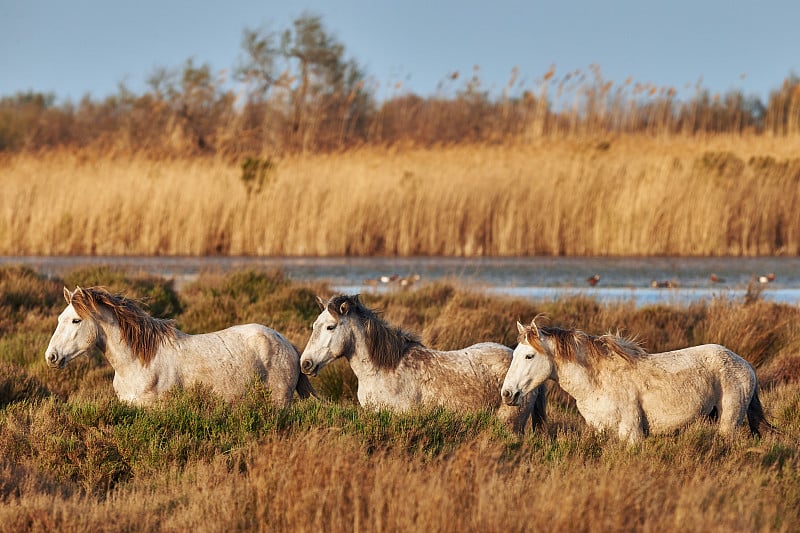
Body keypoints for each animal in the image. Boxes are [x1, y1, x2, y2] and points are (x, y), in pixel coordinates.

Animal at [43, 288, 312, 406]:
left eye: (76, 320)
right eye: (59, 318)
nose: (51, 357)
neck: (138, 363)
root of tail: (287, 343)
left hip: (279, 401)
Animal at [500, 318, 776, 442]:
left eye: (529, 355)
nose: (507, 394)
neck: (598, 381)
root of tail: (745, 364)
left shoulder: (632, 434)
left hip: (729, 423)